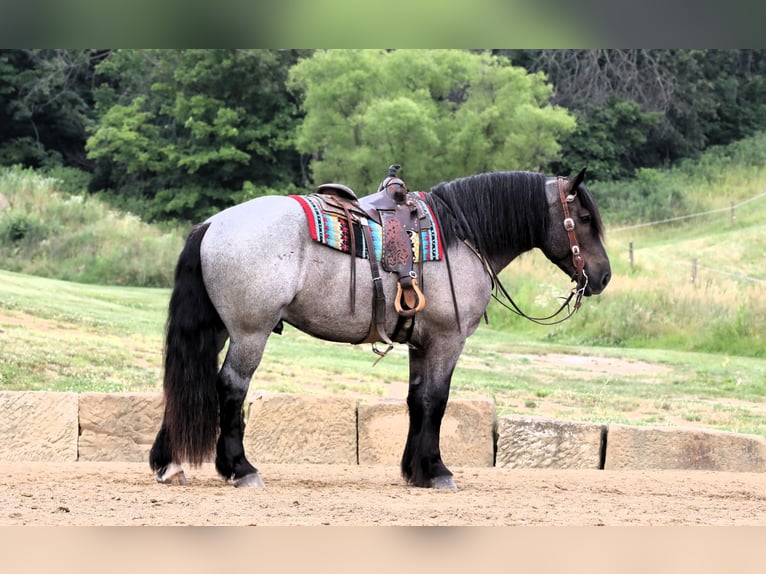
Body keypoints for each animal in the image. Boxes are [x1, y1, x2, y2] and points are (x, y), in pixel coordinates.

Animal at [148, 166, 612, 490]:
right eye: (584, 217)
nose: (604, 276)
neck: (462, 236)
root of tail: (213, 225)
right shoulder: (446, 342)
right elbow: (436, 402)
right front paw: (436, 470)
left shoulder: (421, 344)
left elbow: (416, 401)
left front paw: (414, 471)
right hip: (249, 332)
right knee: (229, 388)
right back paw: (240, 468)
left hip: (219, 330)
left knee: (191, 382)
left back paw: (169, 464)